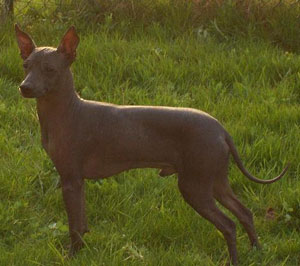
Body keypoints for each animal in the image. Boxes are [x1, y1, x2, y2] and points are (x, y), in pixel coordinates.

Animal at [14, 24, 288, 264]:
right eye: (26, 66)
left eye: (49, 69)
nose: (25, 87)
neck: (67, 111)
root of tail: (221, 129)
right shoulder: (77, 181)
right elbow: (82, 224)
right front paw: (81, 253)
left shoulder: (70, 180)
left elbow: (74, 227)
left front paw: (71, 257)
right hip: (216, 182)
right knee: (244, 212)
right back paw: (257, 251)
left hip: (194, 187)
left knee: (229, 225)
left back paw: (235, 259)